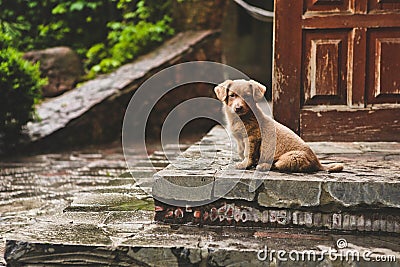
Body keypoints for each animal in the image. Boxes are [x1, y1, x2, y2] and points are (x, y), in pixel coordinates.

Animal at [214, 79, 342, 174]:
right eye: (232, 95)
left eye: (247, 96)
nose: (238, 108)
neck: (240, 118)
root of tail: (317, 162)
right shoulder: (239, 139)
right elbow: (241, 151)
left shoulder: (252, 138)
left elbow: (247, 153)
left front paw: (245, 164)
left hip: (291, 158)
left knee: (277, 165)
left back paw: (263, 166)